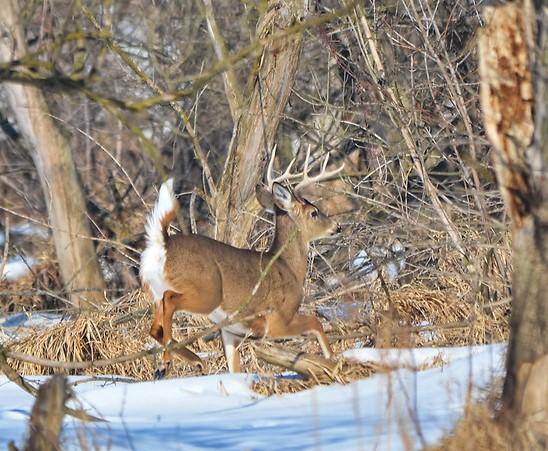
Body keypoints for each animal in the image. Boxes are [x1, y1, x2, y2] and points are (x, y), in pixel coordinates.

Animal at [140, 147, 342, 376]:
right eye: (314, 212)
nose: (337, 226)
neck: (288, 267)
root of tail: (162, 243)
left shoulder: (232, 332)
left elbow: (234, 369)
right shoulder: (278, 319)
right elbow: (315, 321)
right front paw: (332, 360)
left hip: (153, 291)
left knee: (154, 327)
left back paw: (189, 361)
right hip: (207, 291)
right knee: (169, 301)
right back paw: (168, 362)